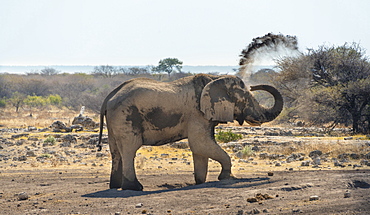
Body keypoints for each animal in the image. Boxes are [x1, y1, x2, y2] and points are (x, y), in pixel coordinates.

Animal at [97, 73, 284, 190]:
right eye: (246, 99)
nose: (253, 86)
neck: (215, 79)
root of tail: (108, 98)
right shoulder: (197, 114)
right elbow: (200, 144)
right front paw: (226, 178)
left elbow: (201, 149)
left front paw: (200, 182)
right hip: (125, 116)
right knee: (130, 149)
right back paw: (134, 188)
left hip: (115, 121)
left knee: (116, 151)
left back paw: (115, 186)